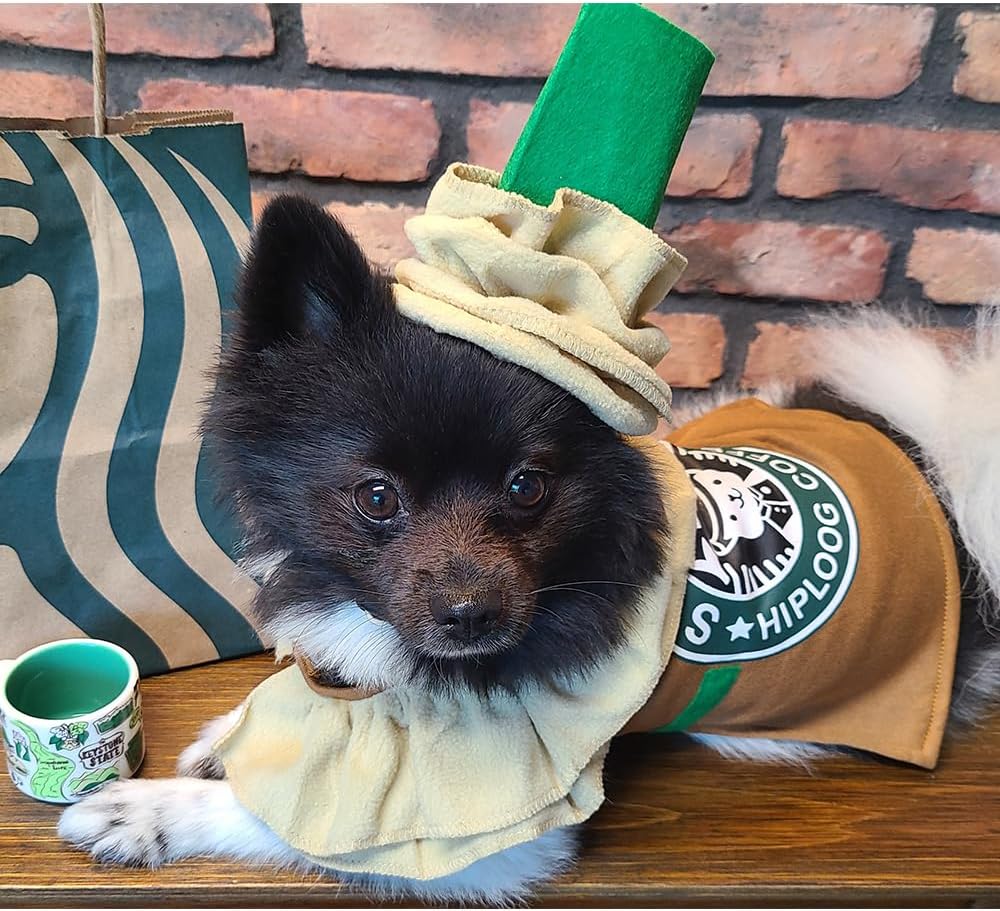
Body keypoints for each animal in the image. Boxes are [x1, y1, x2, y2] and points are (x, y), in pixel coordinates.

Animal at [56, 196, 1000, 900]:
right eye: (375, 496)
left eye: (526, 487)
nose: (470, 612)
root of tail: (938, 475)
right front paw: (233, 732)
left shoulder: (495, 820)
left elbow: (305, 821)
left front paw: (145, 810)